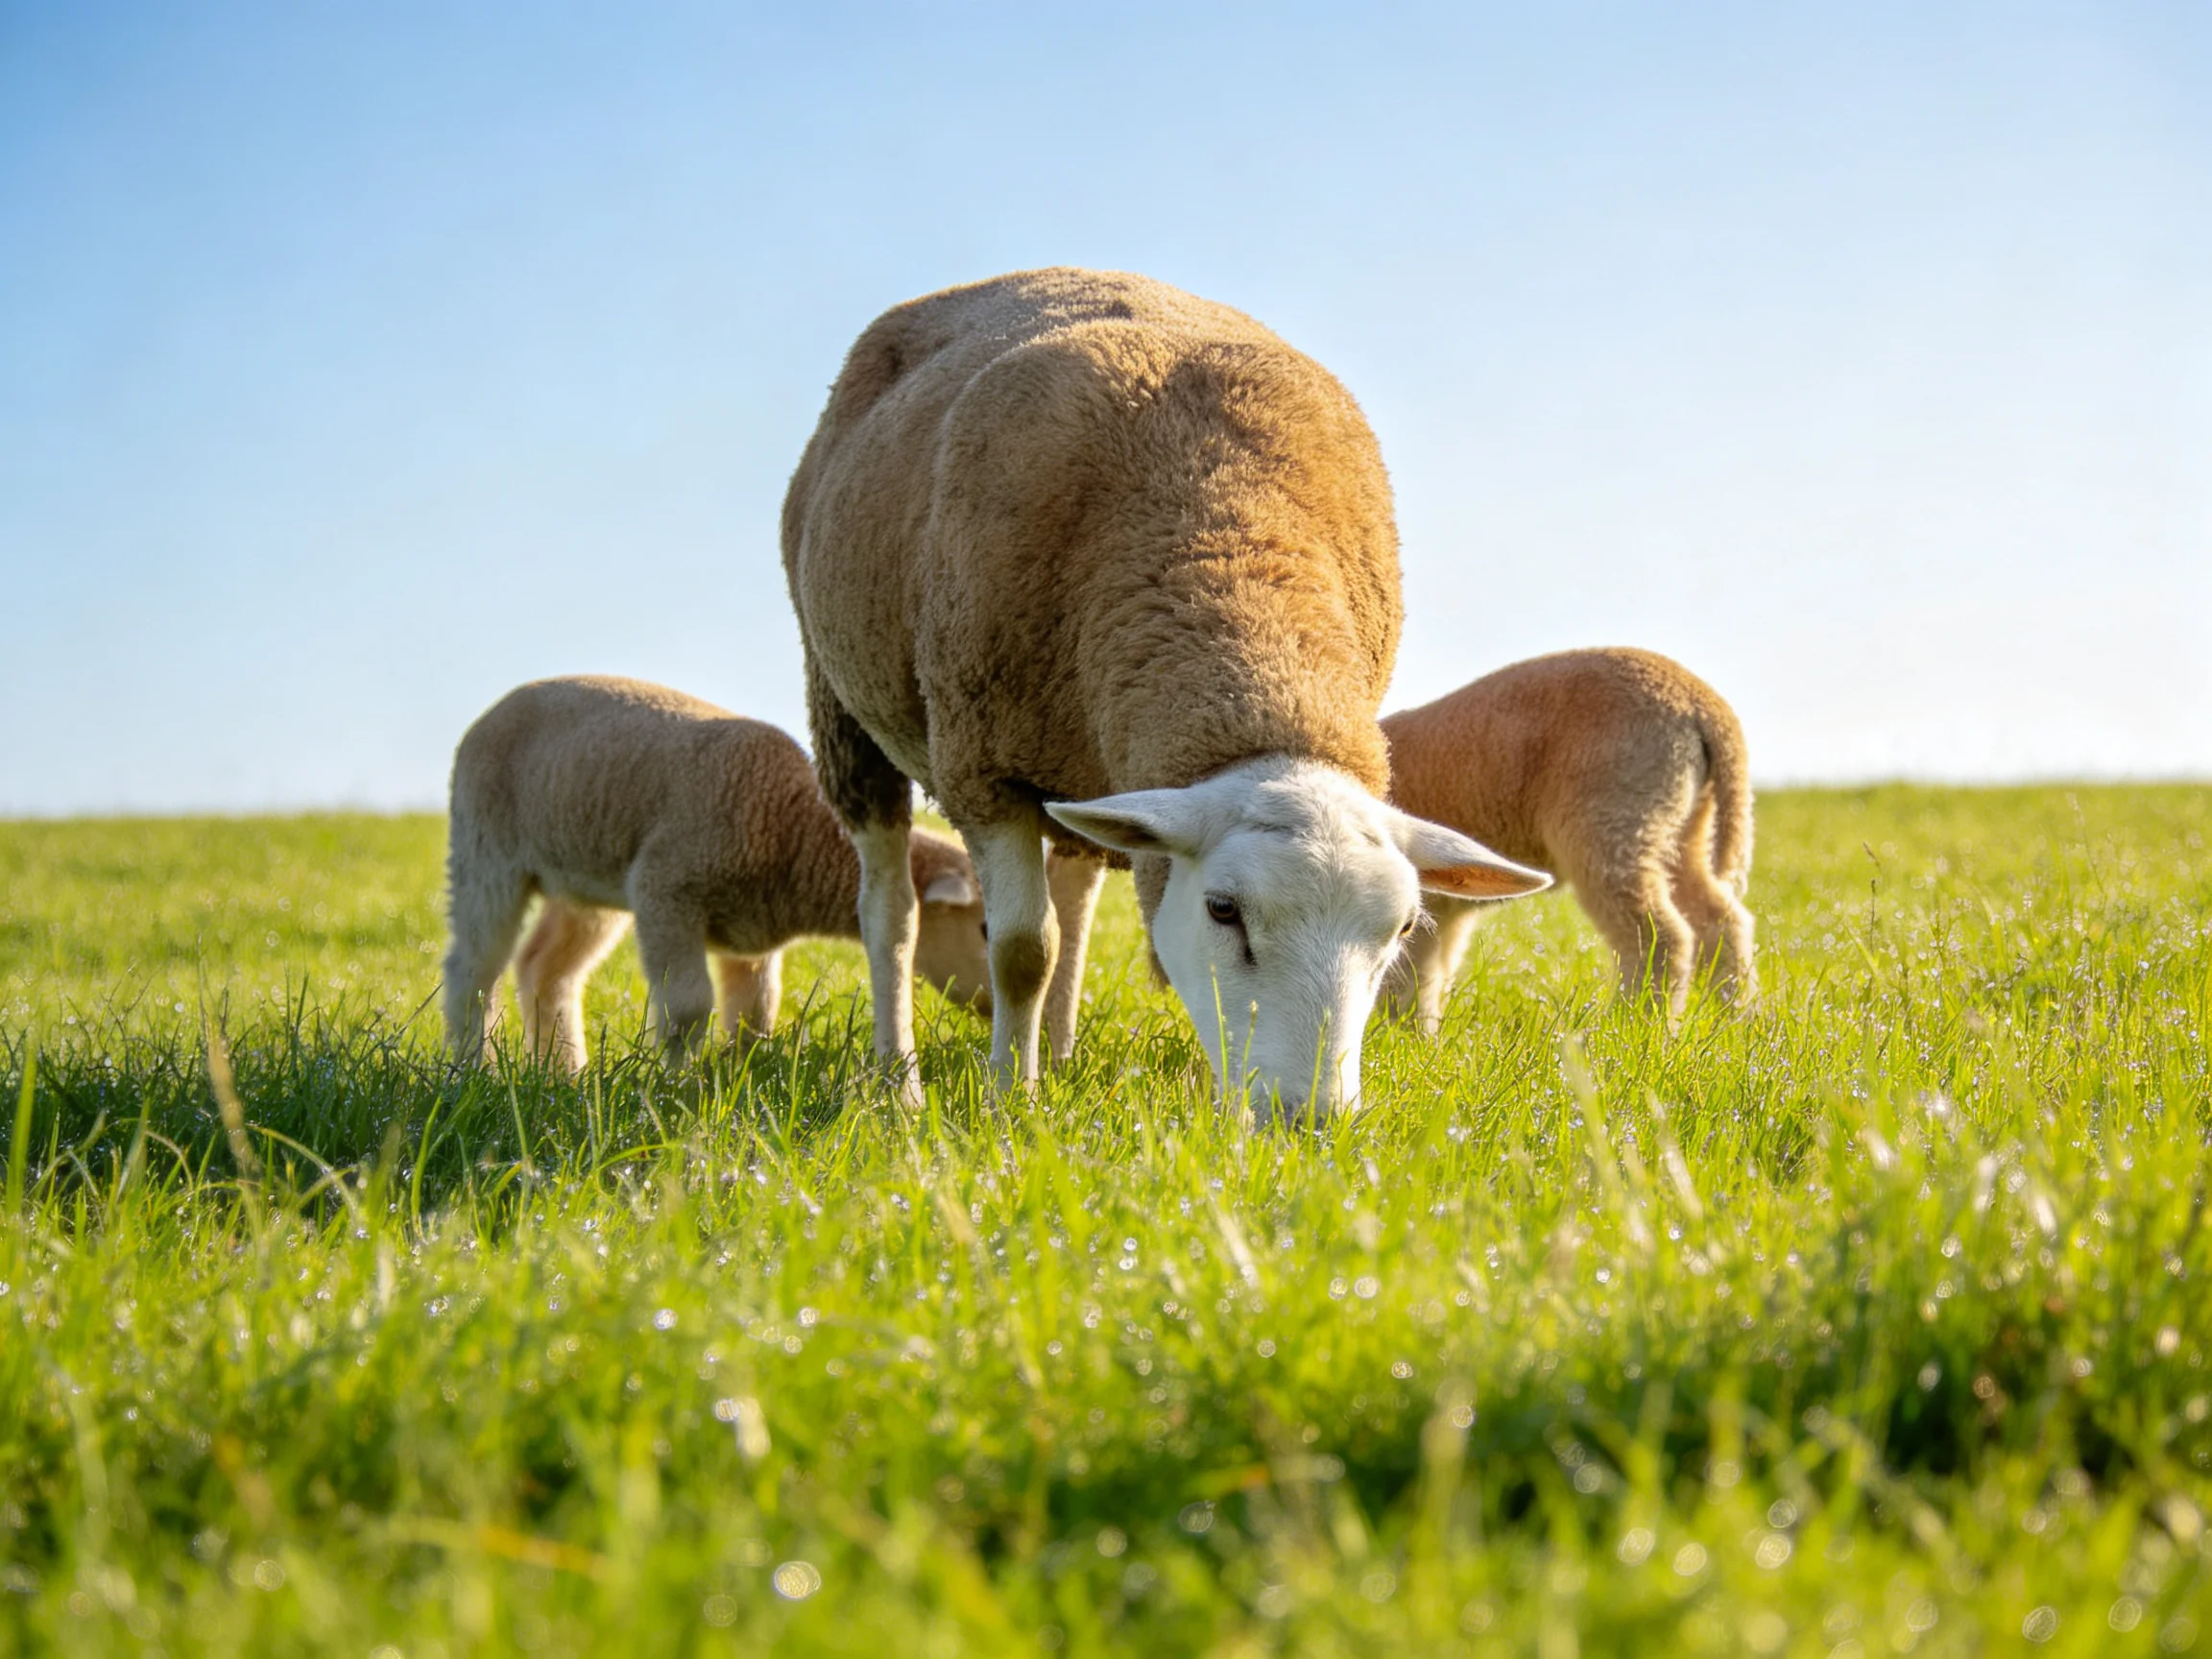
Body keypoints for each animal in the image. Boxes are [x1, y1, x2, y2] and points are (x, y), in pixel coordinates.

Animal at [442, 675, 991, 1071]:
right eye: (984, 928)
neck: (790, 824)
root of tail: (489, 715)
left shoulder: (751, 934)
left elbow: (756, 1011)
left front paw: (735, 1075)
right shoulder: (665, 890)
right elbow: (687, 1007)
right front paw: (674, 1087)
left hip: (584, 879)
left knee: (545, 969)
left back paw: (563, 1074)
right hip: (485, 851)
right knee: (472, 969)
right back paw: (472, 1071)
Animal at [781, 267, 1550, 1119]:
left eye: (1405, 928)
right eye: (1223, 910)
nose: (1309, 1121)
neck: (1220, 530)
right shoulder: (981, 768)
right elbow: (1021, 951)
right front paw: (1008, 1103)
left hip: (1078, 753)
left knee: (1076, 897)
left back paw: (1058, 1051)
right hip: (844, 710)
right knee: (892, 913)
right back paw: (901, 1079)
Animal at [1378, 647, 1756, 1031]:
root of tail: (1702, 703)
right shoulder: (1439, 907)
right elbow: (1420, 972)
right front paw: (1415, 1033)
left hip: (1614, 814)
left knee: (1660, 934)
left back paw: (1630, 1025)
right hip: (1683, 826)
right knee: (1720, 919)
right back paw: (1734, 1018)